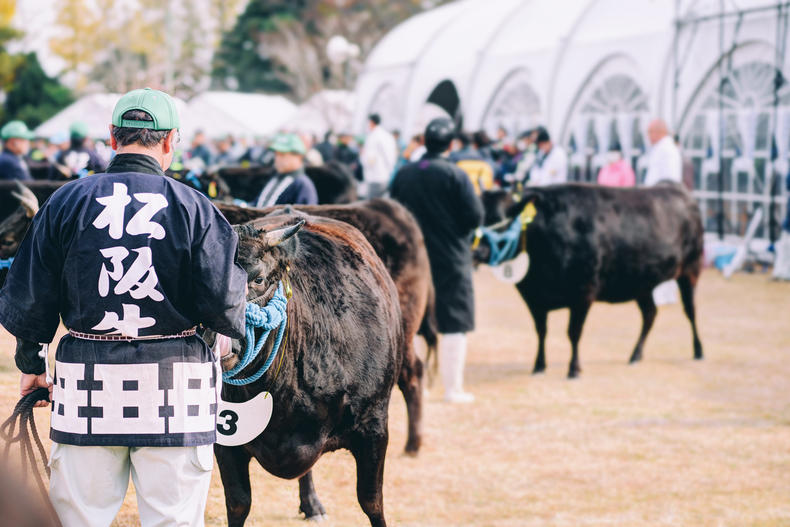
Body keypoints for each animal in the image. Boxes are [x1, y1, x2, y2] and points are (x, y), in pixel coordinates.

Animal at [476, 184, 704, 378]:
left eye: (502, 220)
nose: (478, 251)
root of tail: (677, 189)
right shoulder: (534, 297)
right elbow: (541, 331)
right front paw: (539, 366)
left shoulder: (583, 293)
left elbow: (573, 333)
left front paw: (574, 369)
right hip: (642, 282)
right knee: (650, 313)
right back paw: (635, 355)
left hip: (690, 270)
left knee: (690, 311)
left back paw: (698, 351)